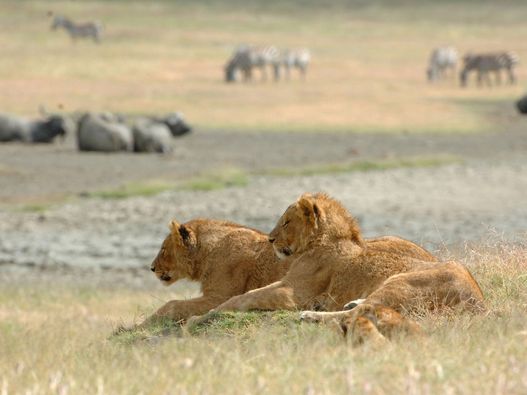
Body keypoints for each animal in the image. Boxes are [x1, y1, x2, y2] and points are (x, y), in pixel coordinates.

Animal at [188, 192, 484, 344]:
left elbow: (240, 298)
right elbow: (243, 296)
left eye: (286, 222)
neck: (319, 242)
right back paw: (350, 303)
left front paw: (200, 317)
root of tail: (478, 301)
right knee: (365, 308)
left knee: (355, 315)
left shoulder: (292, 292)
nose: (270, 239)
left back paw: (311, 315)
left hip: (400, 281)